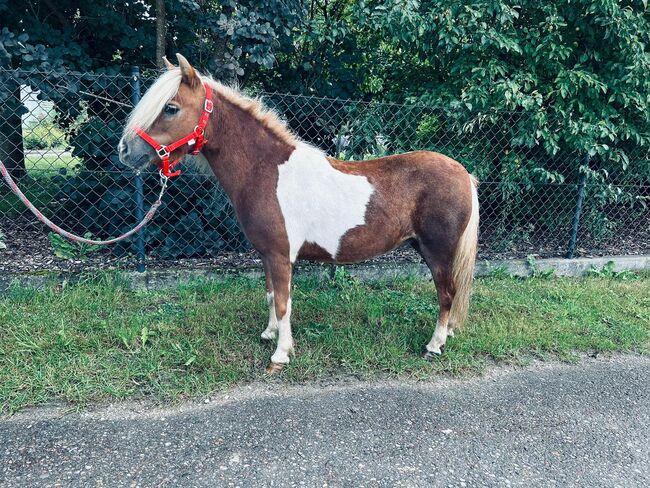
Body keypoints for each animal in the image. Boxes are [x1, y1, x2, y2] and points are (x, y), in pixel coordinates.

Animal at [119, 54, 478, 374]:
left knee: (447, 293)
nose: (125, 151)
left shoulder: (281, 255)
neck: (264, 170)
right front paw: (269, 334)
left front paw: (281, 355)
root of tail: (463, 172)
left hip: (438, 251)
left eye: (171, 107)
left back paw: (434, 345)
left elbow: (283, 302)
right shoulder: (266, 254)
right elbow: (270, 296)